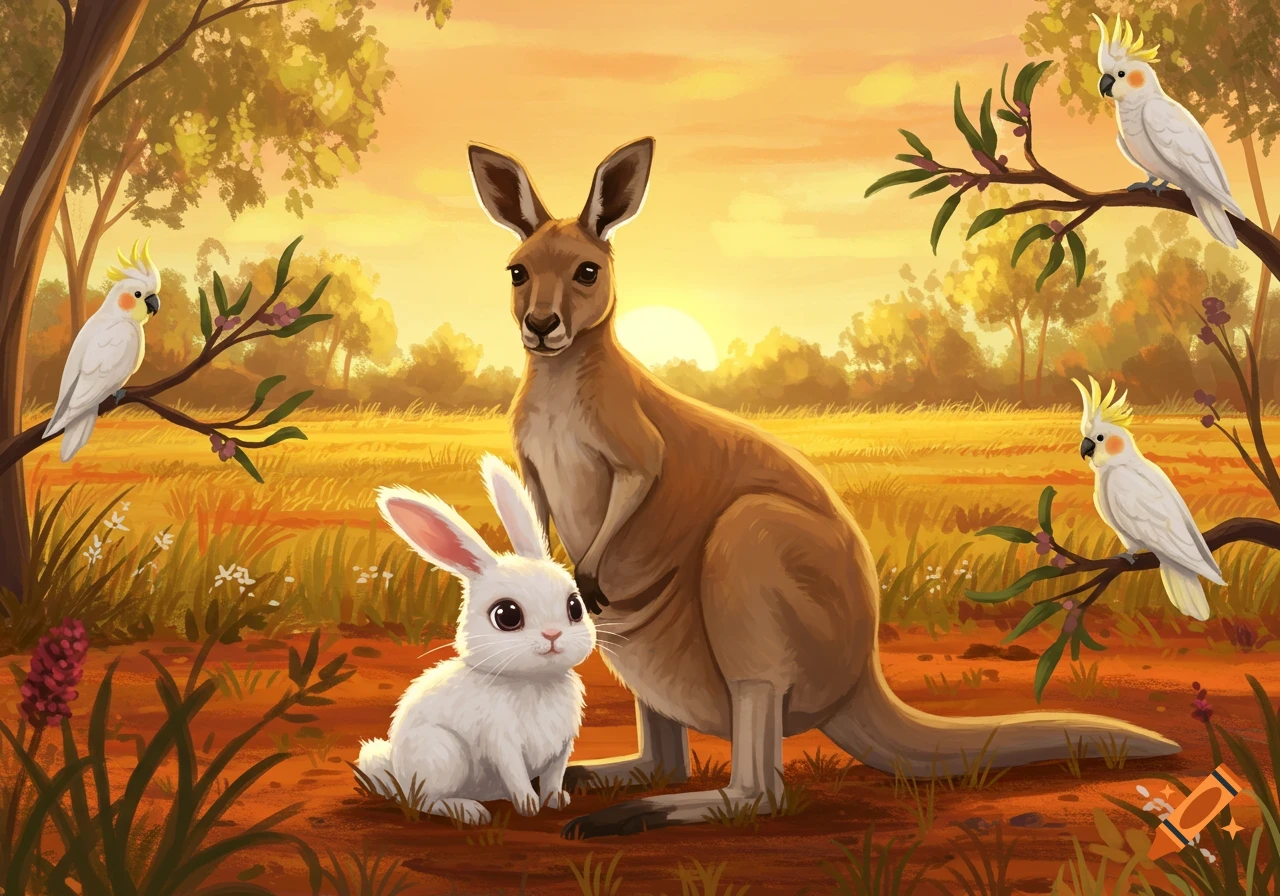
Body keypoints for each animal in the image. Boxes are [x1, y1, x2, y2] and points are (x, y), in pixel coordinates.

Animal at [355, 454, 596, 824]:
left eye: (575, 606)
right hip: (443, 755)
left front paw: (556, 801)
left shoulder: (563, 744)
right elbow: (515, 772)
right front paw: (528, 806)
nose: (552, 635)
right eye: (507, 615)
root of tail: (396, 772)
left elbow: (554, 775)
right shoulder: (500, 741)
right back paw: (470, 811)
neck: (535, 681)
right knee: (424, 801)